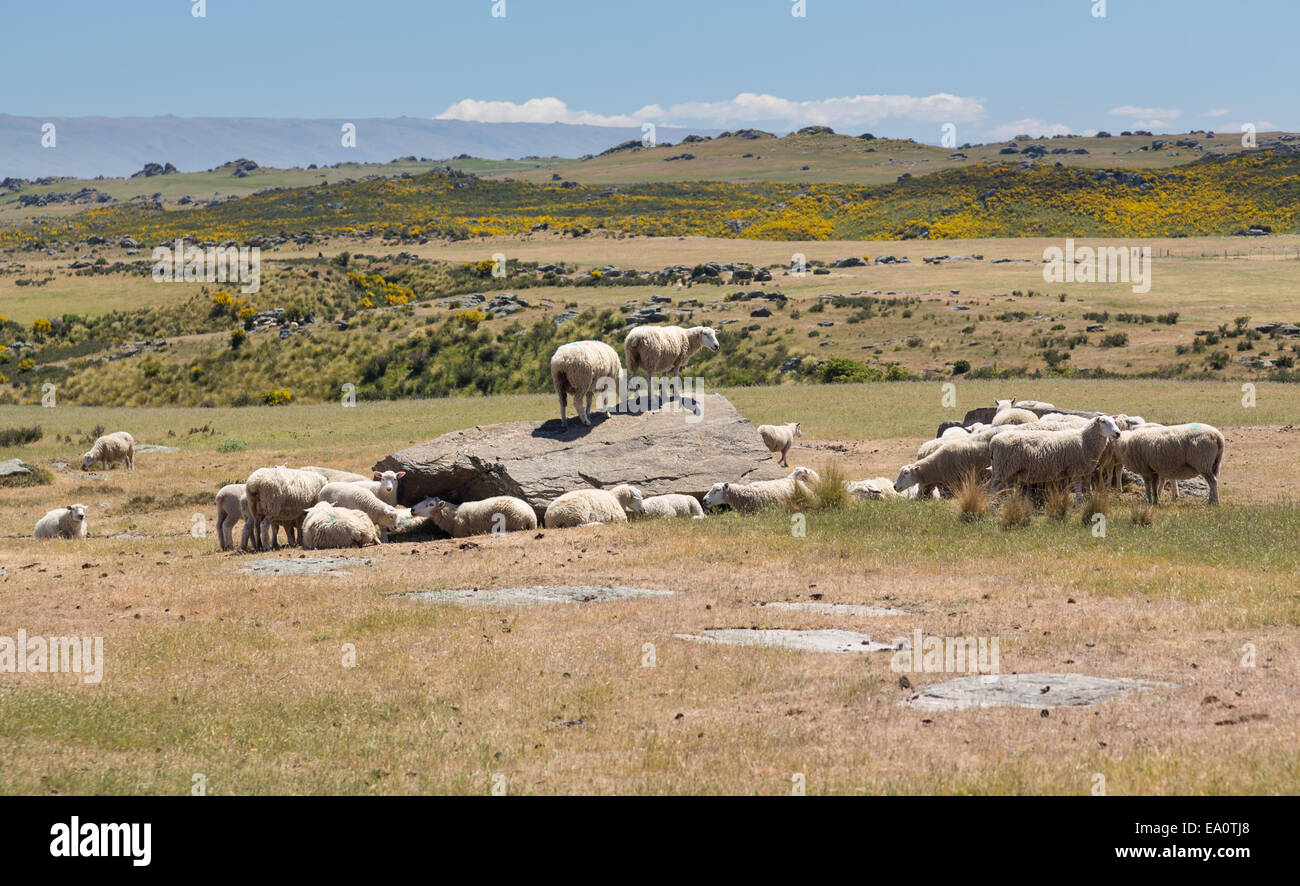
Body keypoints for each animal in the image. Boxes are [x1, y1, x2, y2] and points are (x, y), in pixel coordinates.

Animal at [987, 413, 1123, 496]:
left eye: (1114, 422)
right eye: (1104, 422)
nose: (1118, 433)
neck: (1084, 439)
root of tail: (993, 442)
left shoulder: (1078, 470)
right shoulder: (1076, 468)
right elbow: (1078, 490)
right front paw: (1080, 504)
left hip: (1006, 470)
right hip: (1003, 469)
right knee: (992, 490)